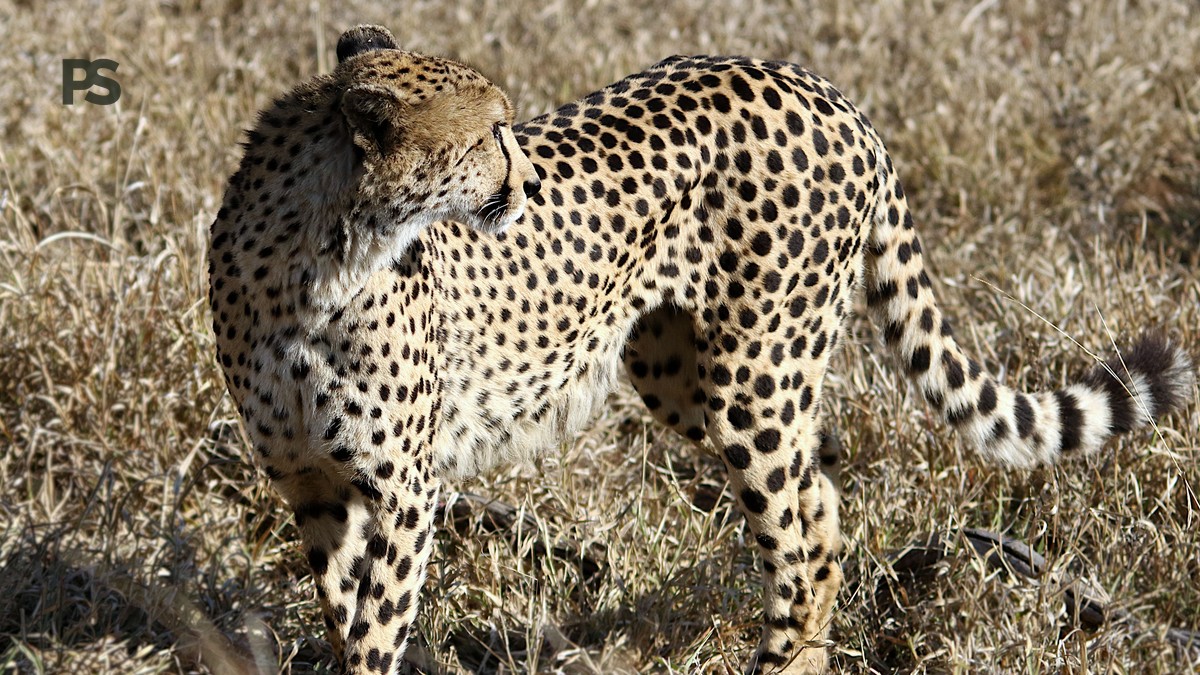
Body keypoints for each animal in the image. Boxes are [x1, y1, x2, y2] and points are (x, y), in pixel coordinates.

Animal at [208, 24, 1194, 674]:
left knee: (801, 537)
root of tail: (819, 86)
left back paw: (780, 662)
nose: (523, 183)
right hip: (677, 367)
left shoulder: (402, 488)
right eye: (488, 132)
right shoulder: (310, 482)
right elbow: (343, 615)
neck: (319, 253)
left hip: (754, 377)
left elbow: (374, 630)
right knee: (821, 502)